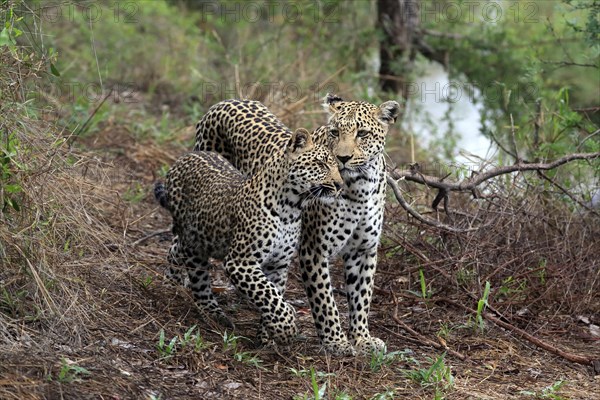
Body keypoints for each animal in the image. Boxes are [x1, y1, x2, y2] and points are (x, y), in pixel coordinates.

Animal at [193, 95, 398, 354]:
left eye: (362, 133)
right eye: (335, 132)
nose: (342, 159)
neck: (361, 186)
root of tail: (227, 100)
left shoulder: (364, 249)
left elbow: (361, 297)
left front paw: (362, 338)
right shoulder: (314, 249)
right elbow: (325, 301)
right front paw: (336, 342)